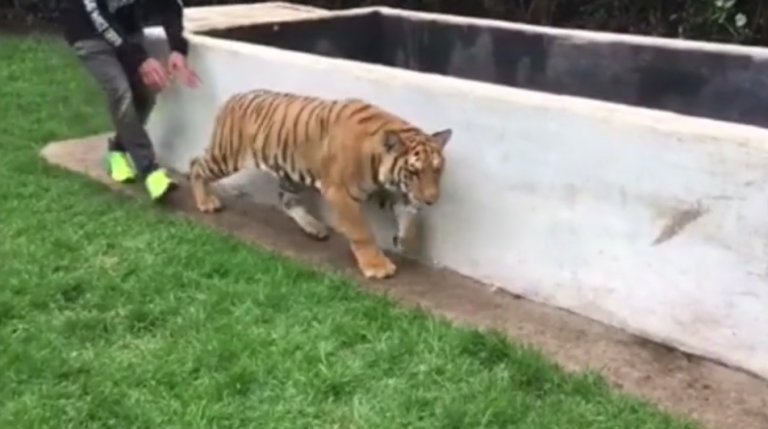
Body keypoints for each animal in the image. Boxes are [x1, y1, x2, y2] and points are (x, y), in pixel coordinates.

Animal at [188, 89, 452, 279]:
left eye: (437, 169)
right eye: (414, 171)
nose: (432, 200)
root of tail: (234, 97)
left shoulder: (387, 190)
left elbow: (410, 218)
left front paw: (404, 240)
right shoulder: (340, 192)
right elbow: (361, 231)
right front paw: (376, 266)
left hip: (292, 173)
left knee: (286, 201)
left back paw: (314, 227)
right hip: (226, 156)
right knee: (195, 165)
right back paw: (206, 202)